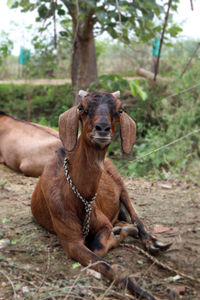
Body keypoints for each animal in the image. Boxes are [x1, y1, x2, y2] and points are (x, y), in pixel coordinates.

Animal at [31, 90, 172, 298]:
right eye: (82, 107)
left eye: (120, 110)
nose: (102, 129)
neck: (78, 196)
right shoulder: (70, 240)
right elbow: (103, 260)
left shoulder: (103, 223)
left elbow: (98, 246)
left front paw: (122, 234)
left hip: (120, 182)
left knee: (136, 216)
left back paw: (152, 242)